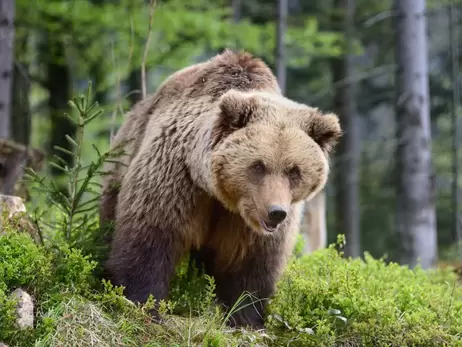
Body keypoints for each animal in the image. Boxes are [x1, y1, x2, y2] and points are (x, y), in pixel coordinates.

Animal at [99, 49, 342, 328]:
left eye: (294, 170)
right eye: (258, 165)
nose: (276, 212)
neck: (221, 196)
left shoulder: (251, 225)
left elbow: (251, 264)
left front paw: (244, 316)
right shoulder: (177, 179)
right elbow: (150, 238)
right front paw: (141, 303)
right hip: (121, 162)